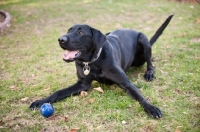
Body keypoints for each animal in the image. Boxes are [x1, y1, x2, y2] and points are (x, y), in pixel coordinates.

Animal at [29, 14, 173, 118]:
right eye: (69, 30)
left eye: (81, 32)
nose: (60, 39)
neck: (92, 62)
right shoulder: (82, 84)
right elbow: (58, 92)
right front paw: (40, 101)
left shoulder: (125, 83)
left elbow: (139, 96)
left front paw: (151, 108)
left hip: (143, 40)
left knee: (150, 63)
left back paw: (149, 73)